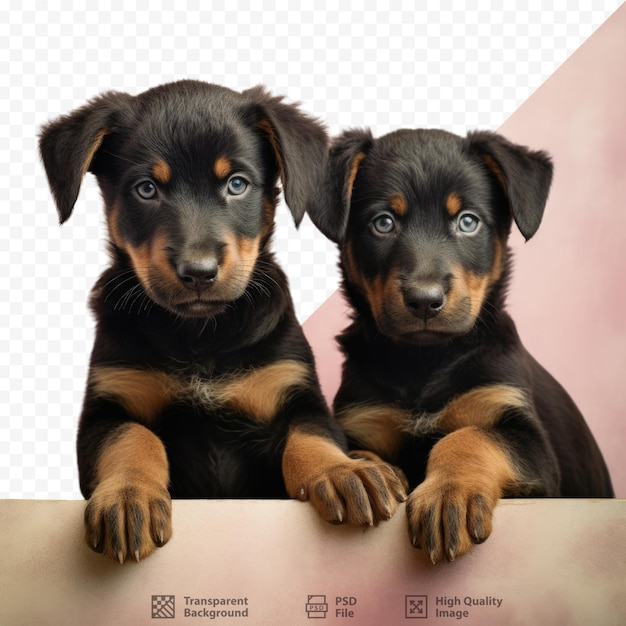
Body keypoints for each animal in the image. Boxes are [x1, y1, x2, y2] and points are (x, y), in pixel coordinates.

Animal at [39, 80, 402, 564]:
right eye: (146, 189)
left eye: (237, 184)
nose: (198, 272)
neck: (201, 336)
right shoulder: (106, 408)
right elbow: (132, 440)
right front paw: (128, 497)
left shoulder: (296, 393)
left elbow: (311, 436)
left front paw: (343, 472)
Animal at [310, 129, 612, 564]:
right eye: (383, 223)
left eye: (468, 221)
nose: (424, 300)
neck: (423, 361)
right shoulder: (363, 420)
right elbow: (356, 452)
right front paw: (367, 475)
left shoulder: (530, 444)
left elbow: (469, 436)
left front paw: (449, 495)